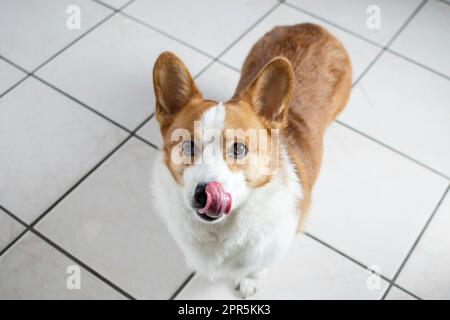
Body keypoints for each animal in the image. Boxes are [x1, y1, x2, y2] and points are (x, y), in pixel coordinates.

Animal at [151, 23, 352, 298]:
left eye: (238, 149)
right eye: (189, 146)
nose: (203, 194)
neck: (225, 227)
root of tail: (312, 26)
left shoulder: (274, 246)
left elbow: (258, 267)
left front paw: (249, 282)